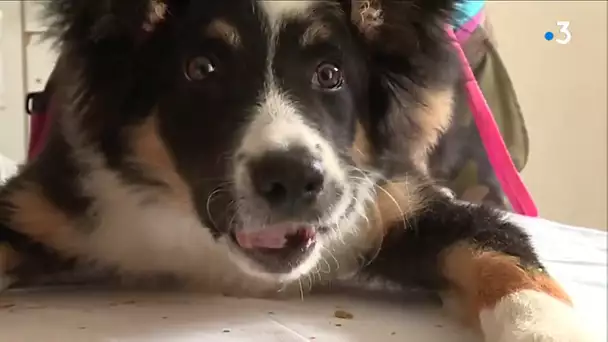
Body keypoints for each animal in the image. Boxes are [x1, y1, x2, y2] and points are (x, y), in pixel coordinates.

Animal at [0, 0, 596, 340]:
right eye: (201, 68)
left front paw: (547, 330)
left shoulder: (393, 199)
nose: (291, 180)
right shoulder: (61, 199)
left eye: (330, 73)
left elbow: (505, 256)